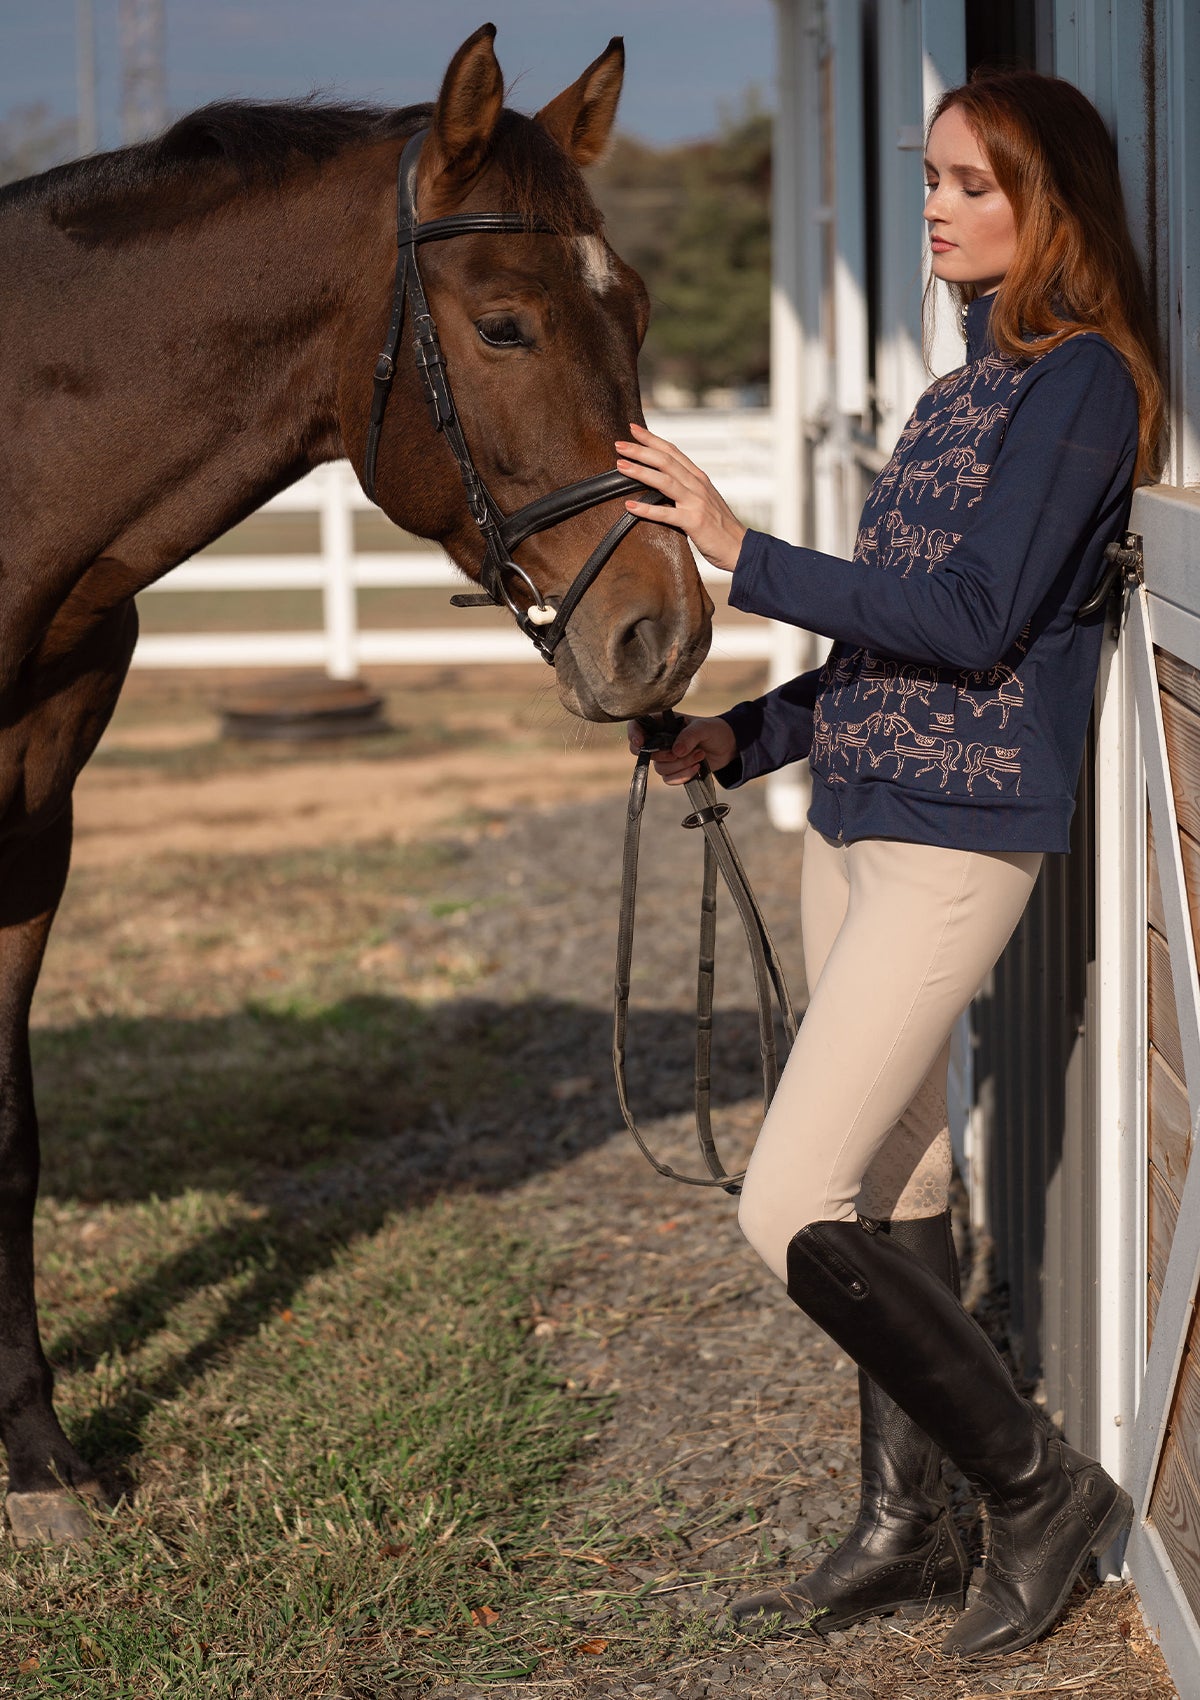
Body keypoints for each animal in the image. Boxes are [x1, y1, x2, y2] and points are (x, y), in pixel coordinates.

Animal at [0, 23, 710, 1543]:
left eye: (634, 311)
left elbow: (10, 1133)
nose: (666, 630)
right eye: (502, 326)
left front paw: (36, 1457)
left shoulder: (33, 834)